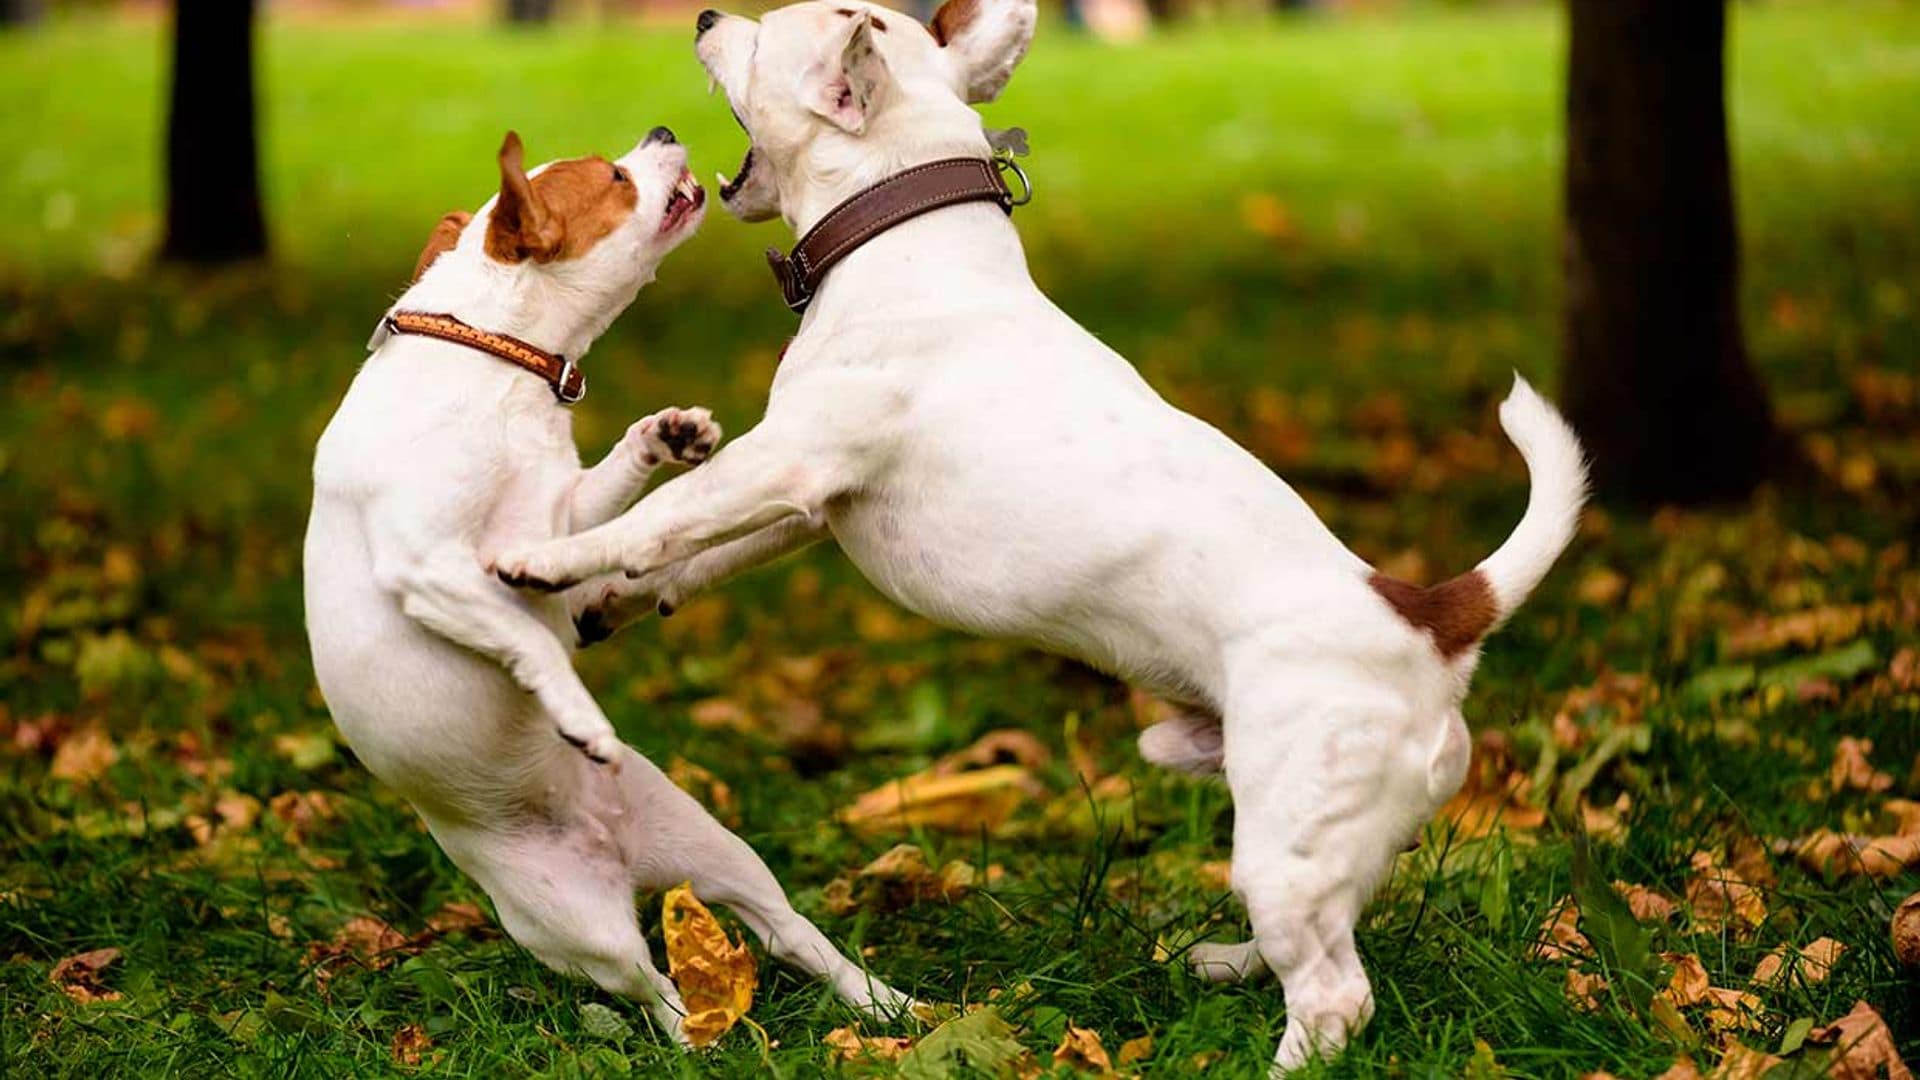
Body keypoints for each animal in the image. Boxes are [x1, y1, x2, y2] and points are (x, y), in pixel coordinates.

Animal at [499, 4, 1589, 1068]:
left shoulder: (791, 460)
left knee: (1333, 996)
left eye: (761, 37)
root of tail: (1435, 617)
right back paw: (1226, 963)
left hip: (1293, 824)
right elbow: (697, 553)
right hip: (1295, 822)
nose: (704, 14)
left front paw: (542, 559)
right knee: (1328, 929)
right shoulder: (813, 505)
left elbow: (663, 516)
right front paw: (611, 600)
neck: (908, 230)